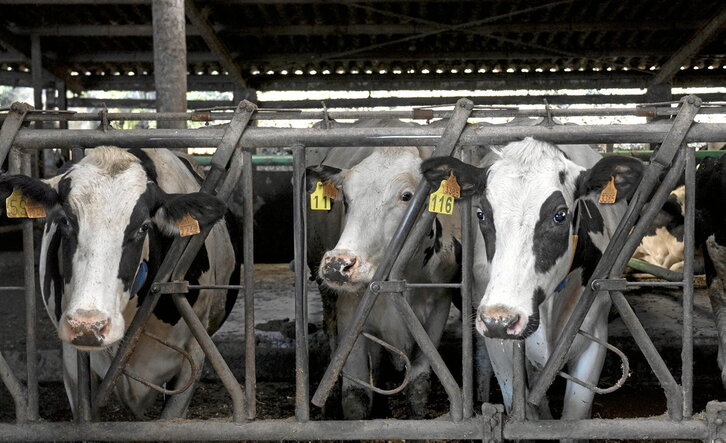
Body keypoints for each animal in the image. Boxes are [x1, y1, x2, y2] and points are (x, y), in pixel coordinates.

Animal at [421, 137, 643, 420]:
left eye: (560, 215)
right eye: (481, 214)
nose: (501, 319)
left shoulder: (594, 336)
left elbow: (573, 414)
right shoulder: (500, 346)